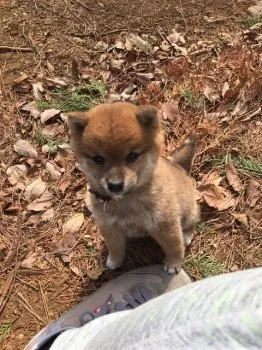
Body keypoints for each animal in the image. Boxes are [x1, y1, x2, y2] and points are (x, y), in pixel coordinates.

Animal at [67, 102, 199, 274]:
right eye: (98, 159)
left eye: (132, 156)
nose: (115, 185)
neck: (127, 201)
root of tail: (179, 167)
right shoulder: (109, 226)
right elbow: (115, 247)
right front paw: (114, 260)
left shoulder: (165, 225)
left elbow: (174, 246)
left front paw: (173, 263)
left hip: (189, 209)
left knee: (192, 221)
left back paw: (187, 235)